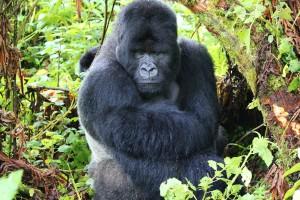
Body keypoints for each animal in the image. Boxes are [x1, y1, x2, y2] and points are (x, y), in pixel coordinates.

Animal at [77, 0, 225, 199]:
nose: (148, 69)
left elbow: (203, 117)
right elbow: (197, 127)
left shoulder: (196, 55)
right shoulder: (103, 82)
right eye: (139, 53)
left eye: (157, 54)